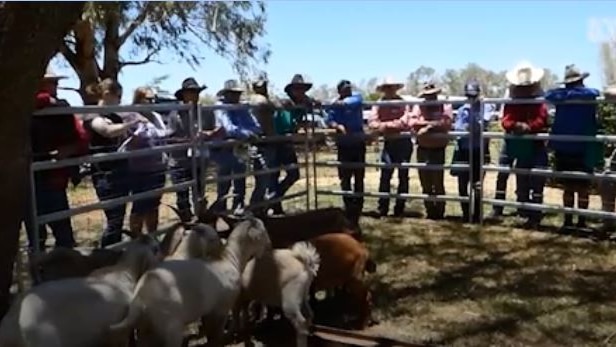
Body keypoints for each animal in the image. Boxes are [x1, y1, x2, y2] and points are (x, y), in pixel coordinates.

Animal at [109, 216, 272, 346]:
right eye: (263, 232)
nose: (270, 245)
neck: (230, 259)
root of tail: (139, 300)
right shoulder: (221, 309)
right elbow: (216, 337)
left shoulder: (209, 311)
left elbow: (210, 335)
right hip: (171, 328)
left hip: (146, 330)